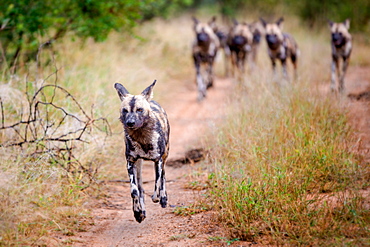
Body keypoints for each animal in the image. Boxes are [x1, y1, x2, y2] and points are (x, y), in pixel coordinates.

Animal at [113, 80, 170, 223]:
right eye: (125, 111)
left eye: (139, 110)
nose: (130, 122)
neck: (141, 137)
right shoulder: (131, 162)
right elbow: (134, 192)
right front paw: (138, 212)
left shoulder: (158, 160)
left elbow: (157, 183)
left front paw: (158, 197)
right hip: (138, 165)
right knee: (140, 188)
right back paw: (141, 211)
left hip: (165, 156)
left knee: (163, 176)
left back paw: (163, 198)